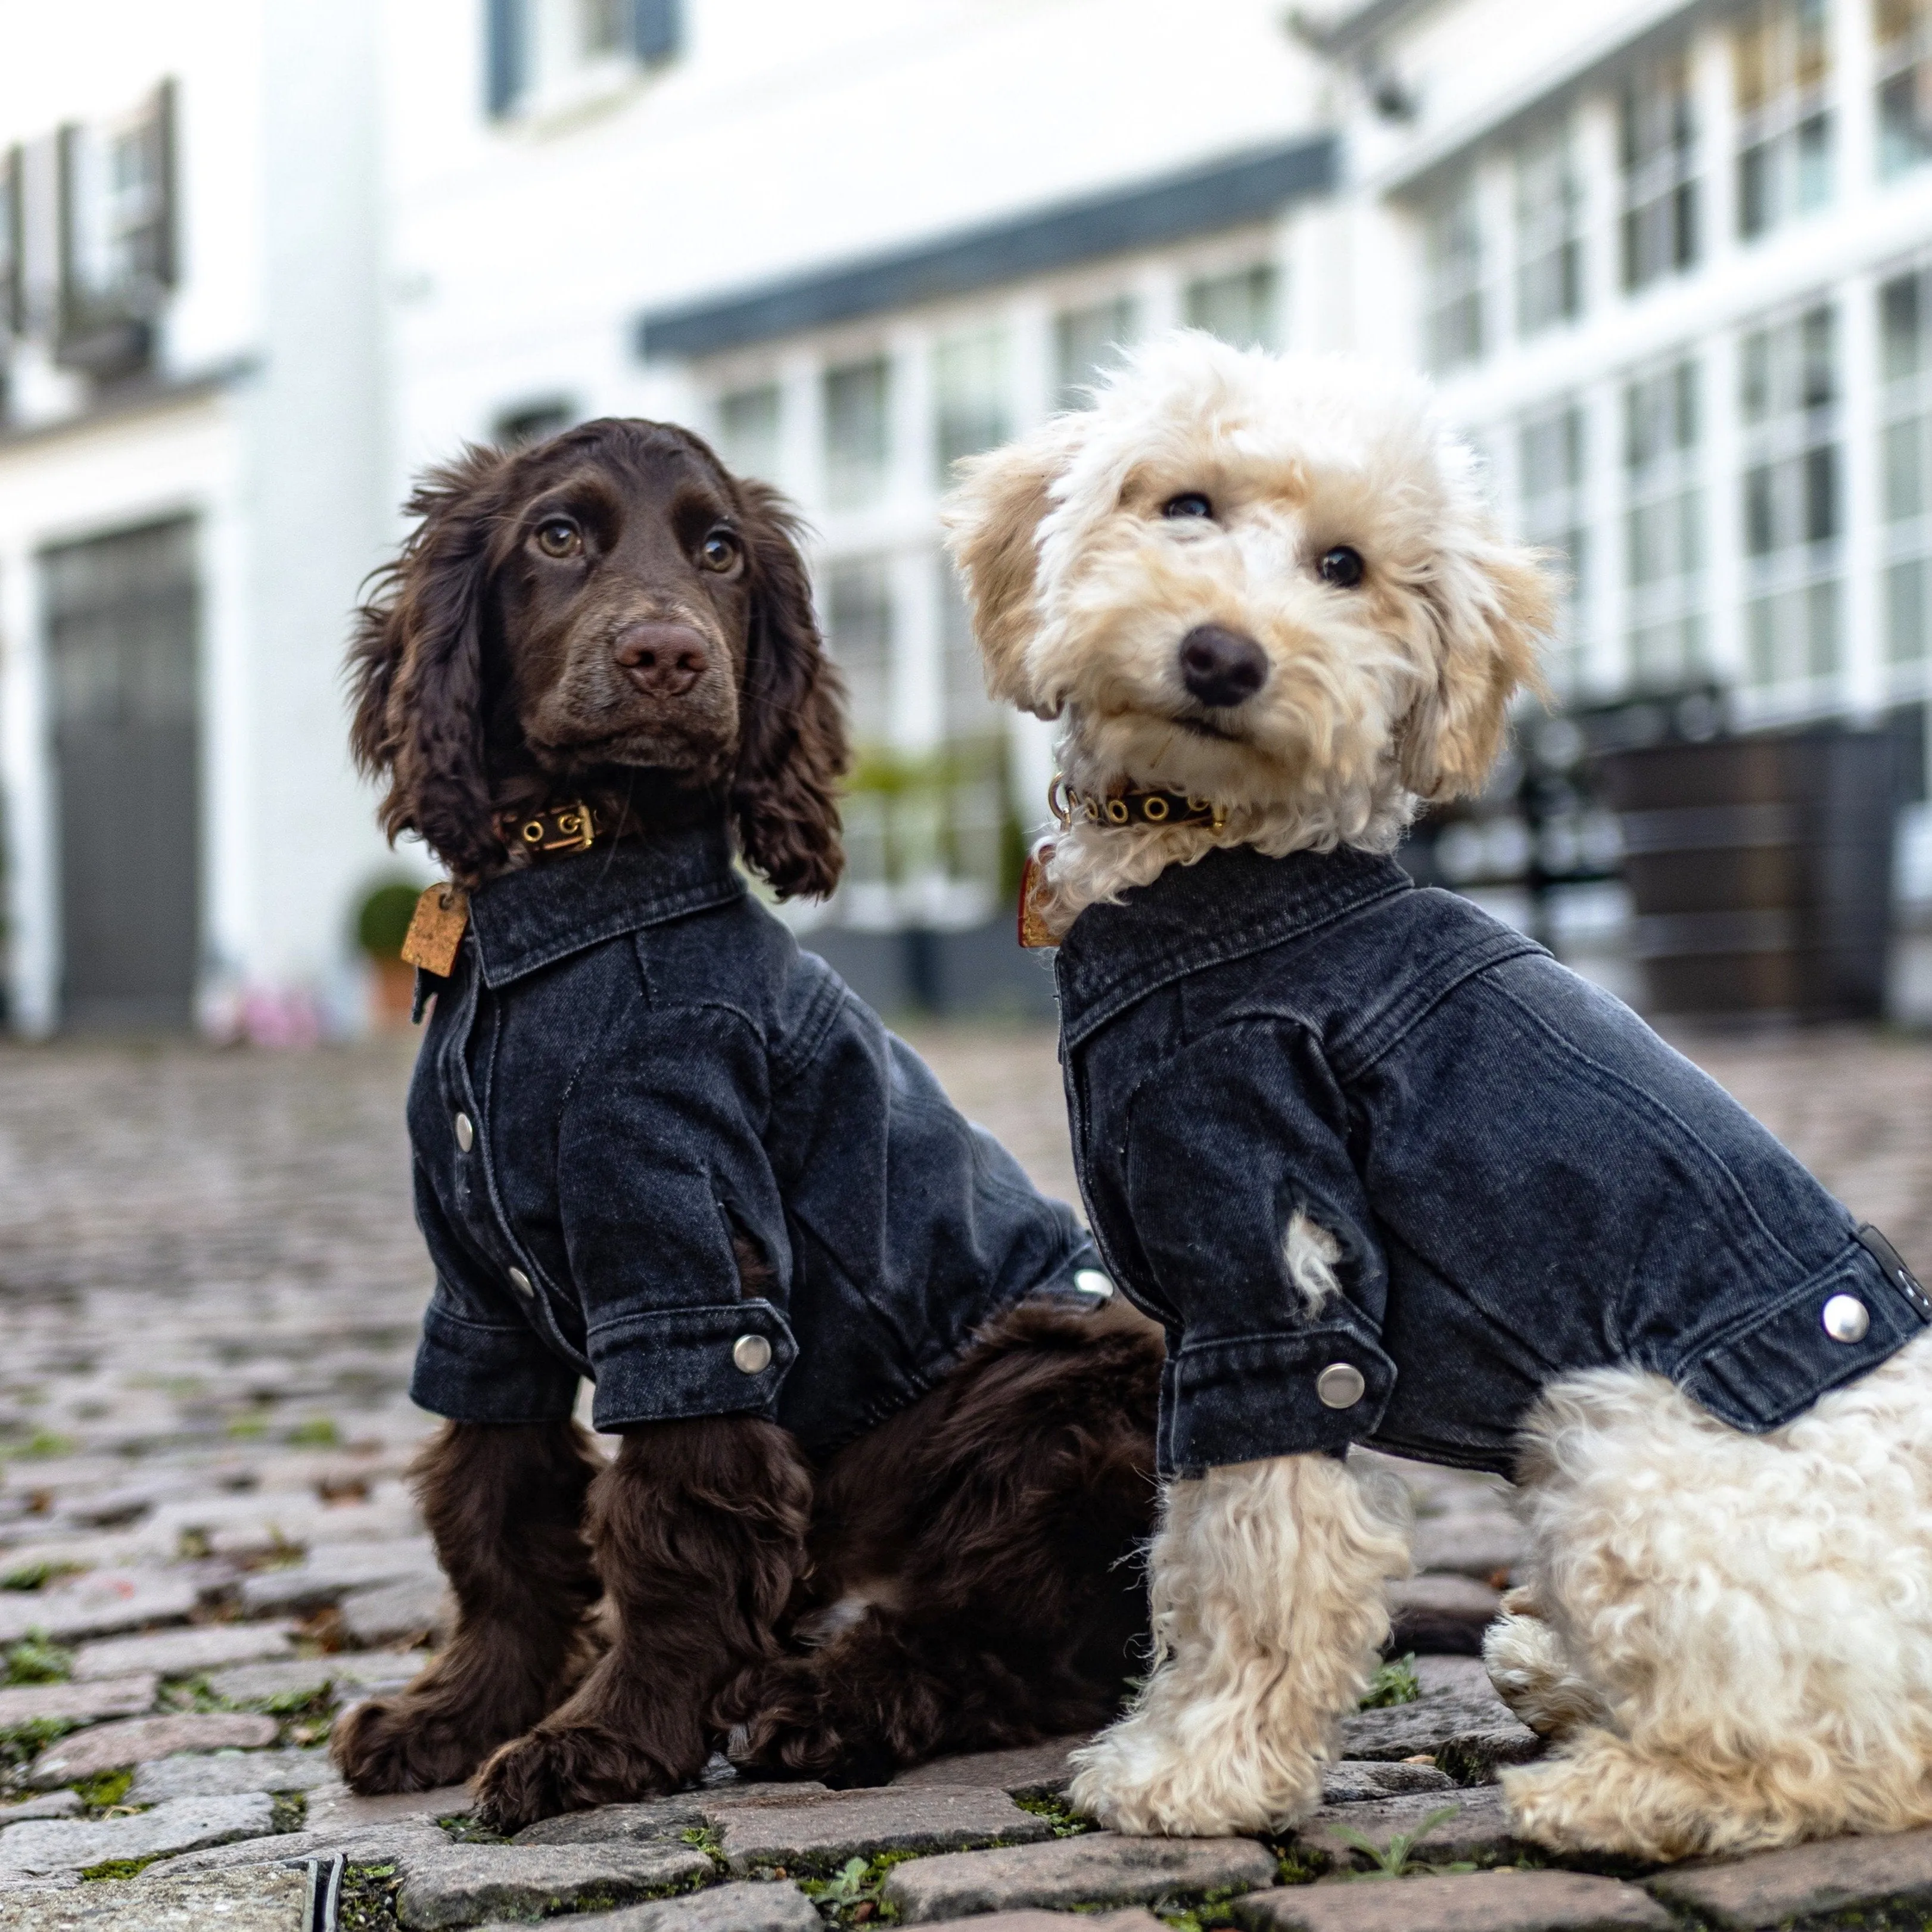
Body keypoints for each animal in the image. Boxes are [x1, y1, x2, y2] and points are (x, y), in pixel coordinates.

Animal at [332, 419, 1159, 1824]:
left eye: (719, 552)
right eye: (557, 534)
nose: (668, 656)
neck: (568, 909)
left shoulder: (696, 1282)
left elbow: (673, 1520)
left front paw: (599, 1744)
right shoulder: (479, 1299)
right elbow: (493, 1515)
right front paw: (457, 1712)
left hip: (1052, 1392)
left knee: (1037, 1647)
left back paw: (826, 1700)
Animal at [942, 328, 1932, 1855]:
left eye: (1343, 565)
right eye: (1182, 504)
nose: (1223, 653)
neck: (1225, 865)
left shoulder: (1277, 1292)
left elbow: (1247, 1560)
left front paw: (1197, 1770)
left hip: (1612, 1438)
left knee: (1827, 1758)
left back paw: (1610, 1788)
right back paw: (1552, 1679)